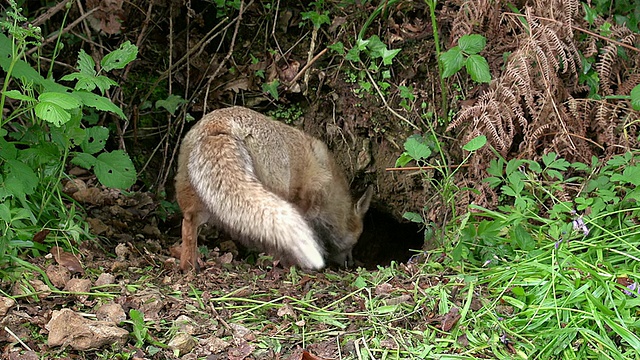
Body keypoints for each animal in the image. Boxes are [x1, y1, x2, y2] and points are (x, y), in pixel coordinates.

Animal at [175, 105, 376, 272]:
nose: (351, 263)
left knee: (188, 223)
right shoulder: (304, 203)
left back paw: (189, 267)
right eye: (355, 242)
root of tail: (218, 124)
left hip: (206, 201)